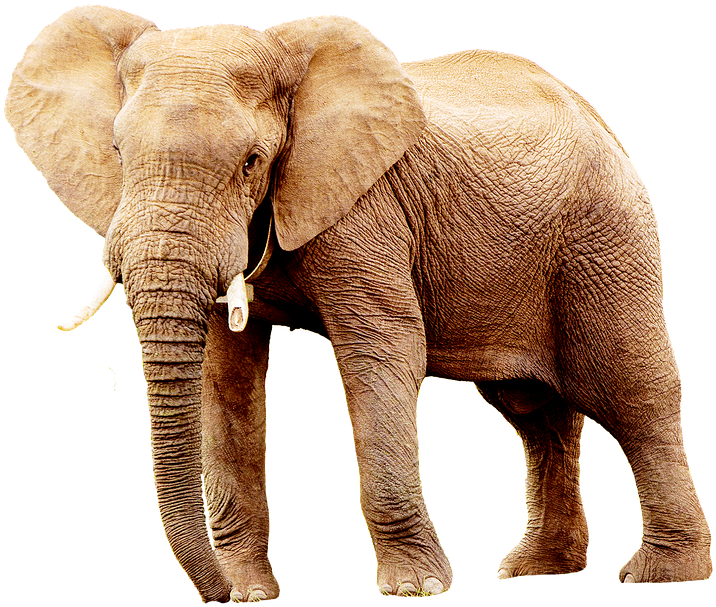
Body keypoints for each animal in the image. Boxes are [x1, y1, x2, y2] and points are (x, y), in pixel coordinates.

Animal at [5, 3, 713, 603]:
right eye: (118, 153)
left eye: (253, 161)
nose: (215, 597)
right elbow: (224, 376)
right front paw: (252, 595)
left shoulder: (367, 208)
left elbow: (382, 348)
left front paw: (416, 590)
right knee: (535, 413)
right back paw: (537, 570)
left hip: (605, 236)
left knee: (631, 393)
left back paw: (663, 576)